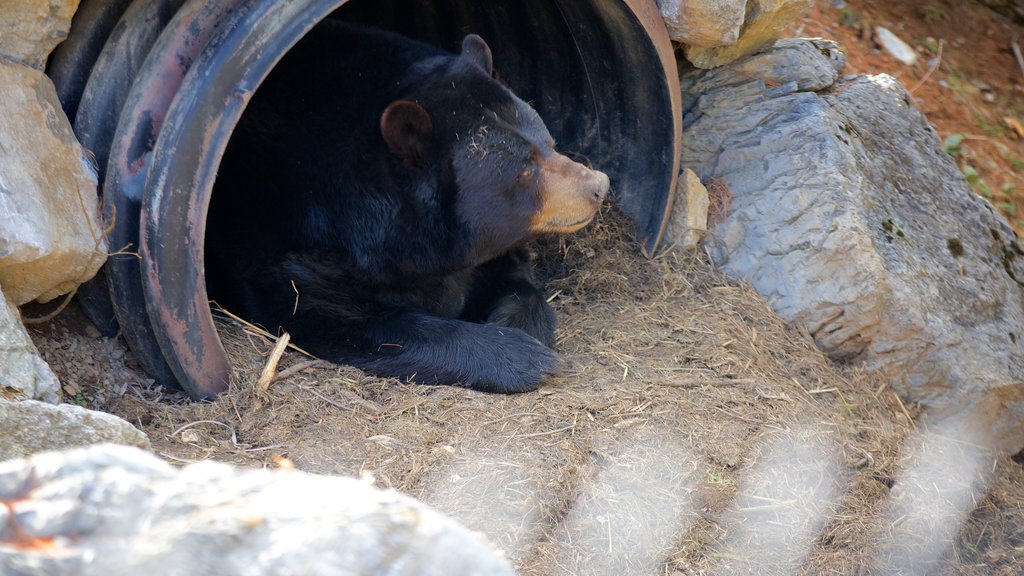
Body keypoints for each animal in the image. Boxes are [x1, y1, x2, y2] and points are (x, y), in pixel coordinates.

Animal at [206, 21, 606, 389]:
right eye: (524, 169)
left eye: (549, 142)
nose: (598, 186)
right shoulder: (294, 247)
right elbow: (331, 312)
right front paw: (519, 357)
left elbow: (516, 278)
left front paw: (518, 328)